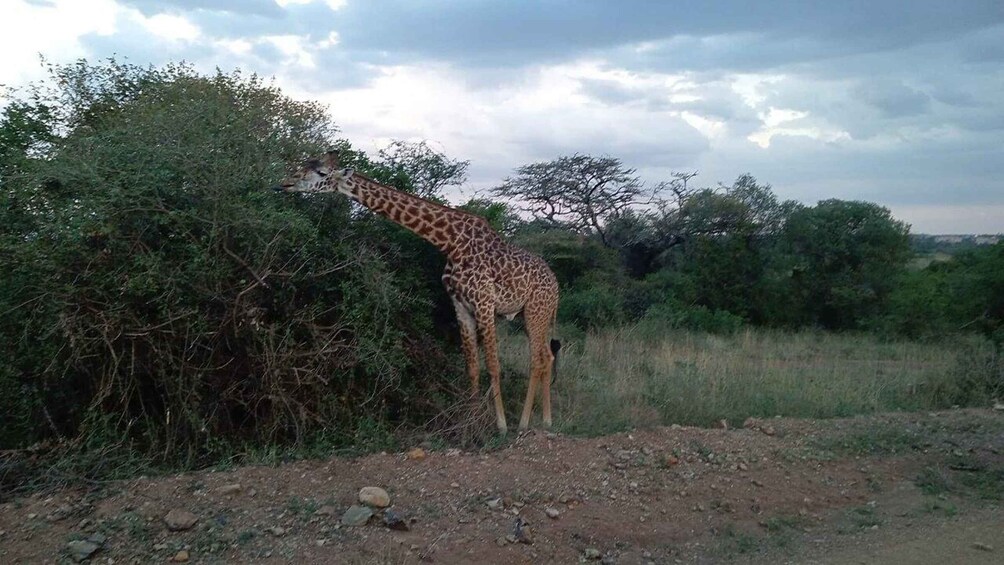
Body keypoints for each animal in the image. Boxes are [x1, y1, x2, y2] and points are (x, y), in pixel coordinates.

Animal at [273, 150, 558, 433]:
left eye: (321, 172)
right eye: (304, 165)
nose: (284, 183)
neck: (451, 243)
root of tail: (556, 287)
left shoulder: (484, 303)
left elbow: (493, 366)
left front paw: (500, 425)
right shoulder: (460, 306)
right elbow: (472, 367)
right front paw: (471, 417)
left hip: (536, 311)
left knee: (537, 359)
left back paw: (525, 423)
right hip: (531, 315)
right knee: (547, 356)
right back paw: (546, 419)